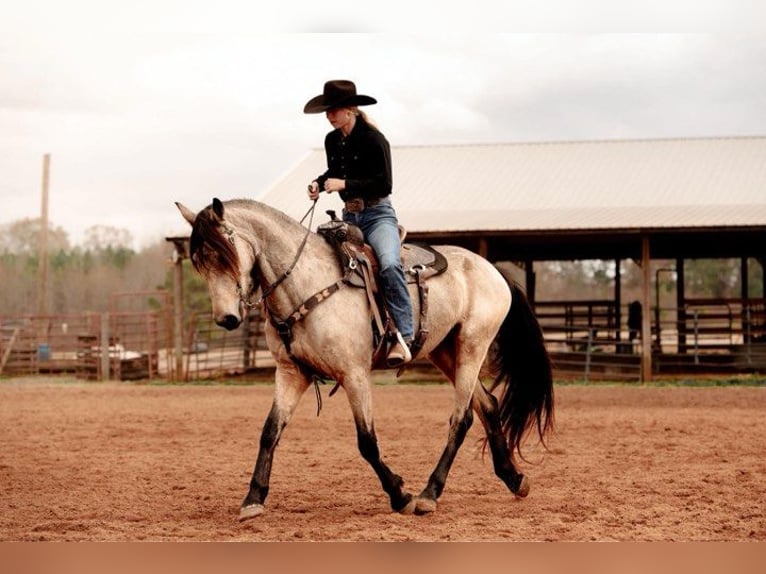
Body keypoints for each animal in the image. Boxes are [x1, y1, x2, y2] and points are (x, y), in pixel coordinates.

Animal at [177, 198, 556, 520]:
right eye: (200, 263)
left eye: (224, 255)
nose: (227, 318)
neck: (307, 284)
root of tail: (493, 270)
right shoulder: (291, 374)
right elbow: (269, 432)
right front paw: (253, 499)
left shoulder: (354, 374)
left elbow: (367, 442)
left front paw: (400, 495)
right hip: (446, 353)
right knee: (489, 404)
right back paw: (514, 479)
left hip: (472, 347)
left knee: (461, 419)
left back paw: (429, 494)